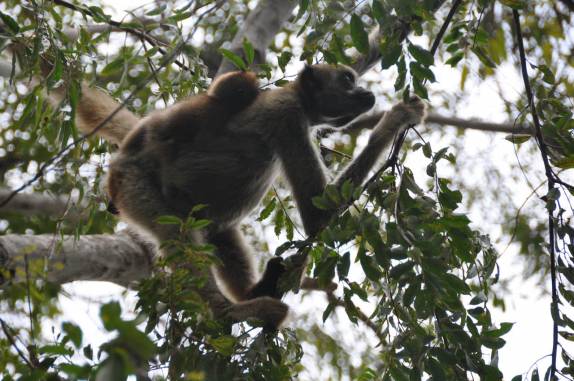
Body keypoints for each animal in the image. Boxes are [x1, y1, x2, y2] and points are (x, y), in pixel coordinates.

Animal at [66, 63, 428, 328]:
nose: (366, 92)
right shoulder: (288, 113)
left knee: (218, 230)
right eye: (348, 80)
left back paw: (257, 290)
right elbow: (317, 217)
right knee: (177, 233)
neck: (294, 97)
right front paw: (398, 117)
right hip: (135, 185)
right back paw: (227, 313)